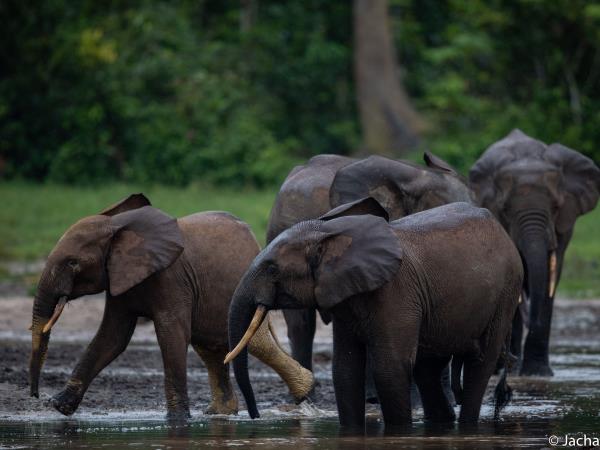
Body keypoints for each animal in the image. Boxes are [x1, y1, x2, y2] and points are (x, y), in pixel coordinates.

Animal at [28, 195, 312, 420]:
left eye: (73, 263)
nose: (35, 395)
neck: (117, 225)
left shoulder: (171, 278)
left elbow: (170, 334)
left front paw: (177, 420)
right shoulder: (119, 279)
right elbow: (112, 337)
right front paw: (60, 406)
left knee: (254, 342)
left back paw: (306, 391)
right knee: (210, 348)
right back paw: (222, 413)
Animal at [225, 199, 520, 428]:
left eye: (272, 269)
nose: (253, 416)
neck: (329, 233)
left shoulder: (395, 292)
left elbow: (389, 367)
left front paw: (399, 433)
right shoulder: (346, 296)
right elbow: (345, 370)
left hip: (505, 294)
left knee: (479, 364)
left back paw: (467, 424)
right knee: (428, 369)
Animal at [468, 130, 600, 376]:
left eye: (556, 207)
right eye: (506, 210)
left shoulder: (563, 226)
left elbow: (550, 278)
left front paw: (538, 372)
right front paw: (520, 370)